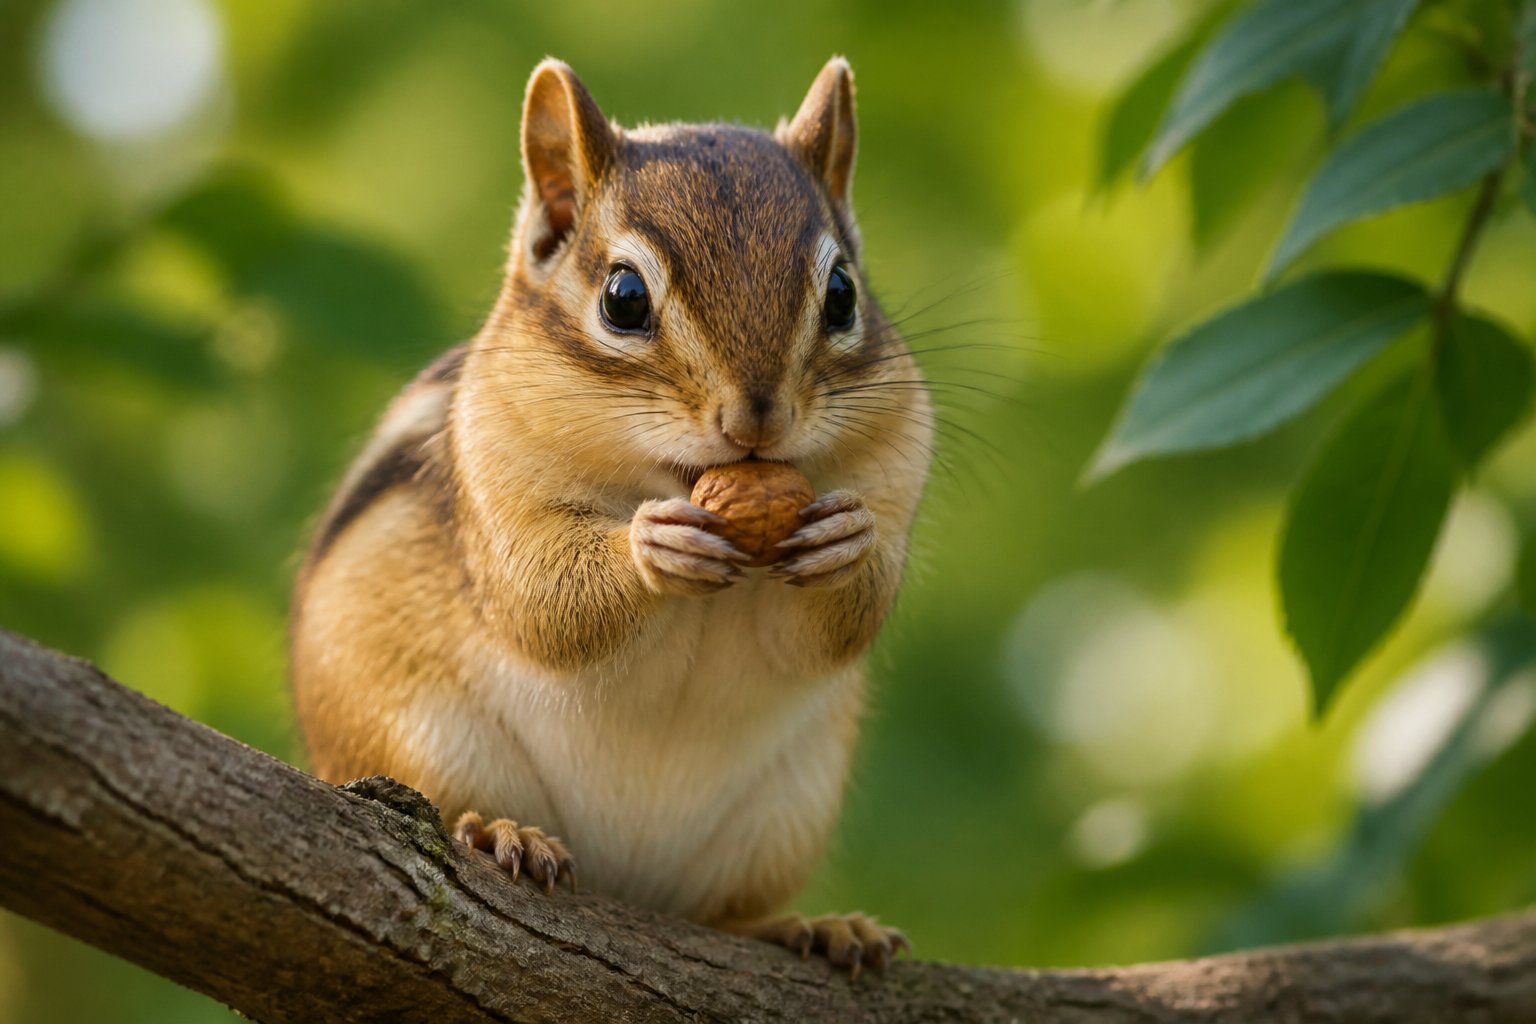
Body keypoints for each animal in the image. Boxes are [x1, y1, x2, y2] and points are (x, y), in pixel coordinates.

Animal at [289, 56, 932, 975]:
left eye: (842, 293)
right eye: (624, 298)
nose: (757, 420)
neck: (668, 477)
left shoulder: (900, 460)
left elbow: (836, 625)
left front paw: (849, 539)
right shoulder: (495, 473)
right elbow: (544, 603)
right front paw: (650, 548)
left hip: (777, 823)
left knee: (725, 915)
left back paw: (811, 928)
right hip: (406, 734)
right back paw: (501, 831)